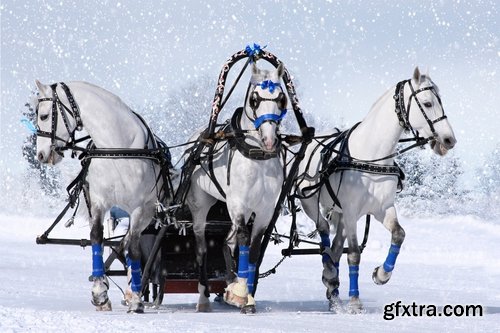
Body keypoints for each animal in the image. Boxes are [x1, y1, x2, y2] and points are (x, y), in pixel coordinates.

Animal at [34, 80, 173, 312]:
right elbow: (97, 238)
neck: (118, 148)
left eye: (44, 116)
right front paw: (100, 292)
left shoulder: (140, 208)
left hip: (146, 214)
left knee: (130, 244)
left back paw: (132, 288)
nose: (41, 155)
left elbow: (133, 248)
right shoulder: (98, 201)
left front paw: (135, 297)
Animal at [185, 62, 288, 312]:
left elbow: (253, 250)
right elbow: (242, 240)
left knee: (225, 242)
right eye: (254, 99)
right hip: (202, 205)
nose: (269, 140)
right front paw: (242, 294)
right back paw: (203, 298)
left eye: (282, 99)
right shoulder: (239, 205)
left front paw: (245, 294)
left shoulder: (264, 210)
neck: (257, 155)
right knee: (202, 248)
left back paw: (230, 283)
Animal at [296, 68, 458, 314]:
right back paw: (330, 273)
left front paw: (381, 274)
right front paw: (355, 300)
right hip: (311, 203)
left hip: (341, 214)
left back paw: (333, 289)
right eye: (428, 103)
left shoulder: (383, 208)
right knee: (324, 232)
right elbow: (354, 254)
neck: (371, 156)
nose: (449, 140)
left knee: (335, 248)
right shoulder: (351, 211)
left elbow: (399, 234)